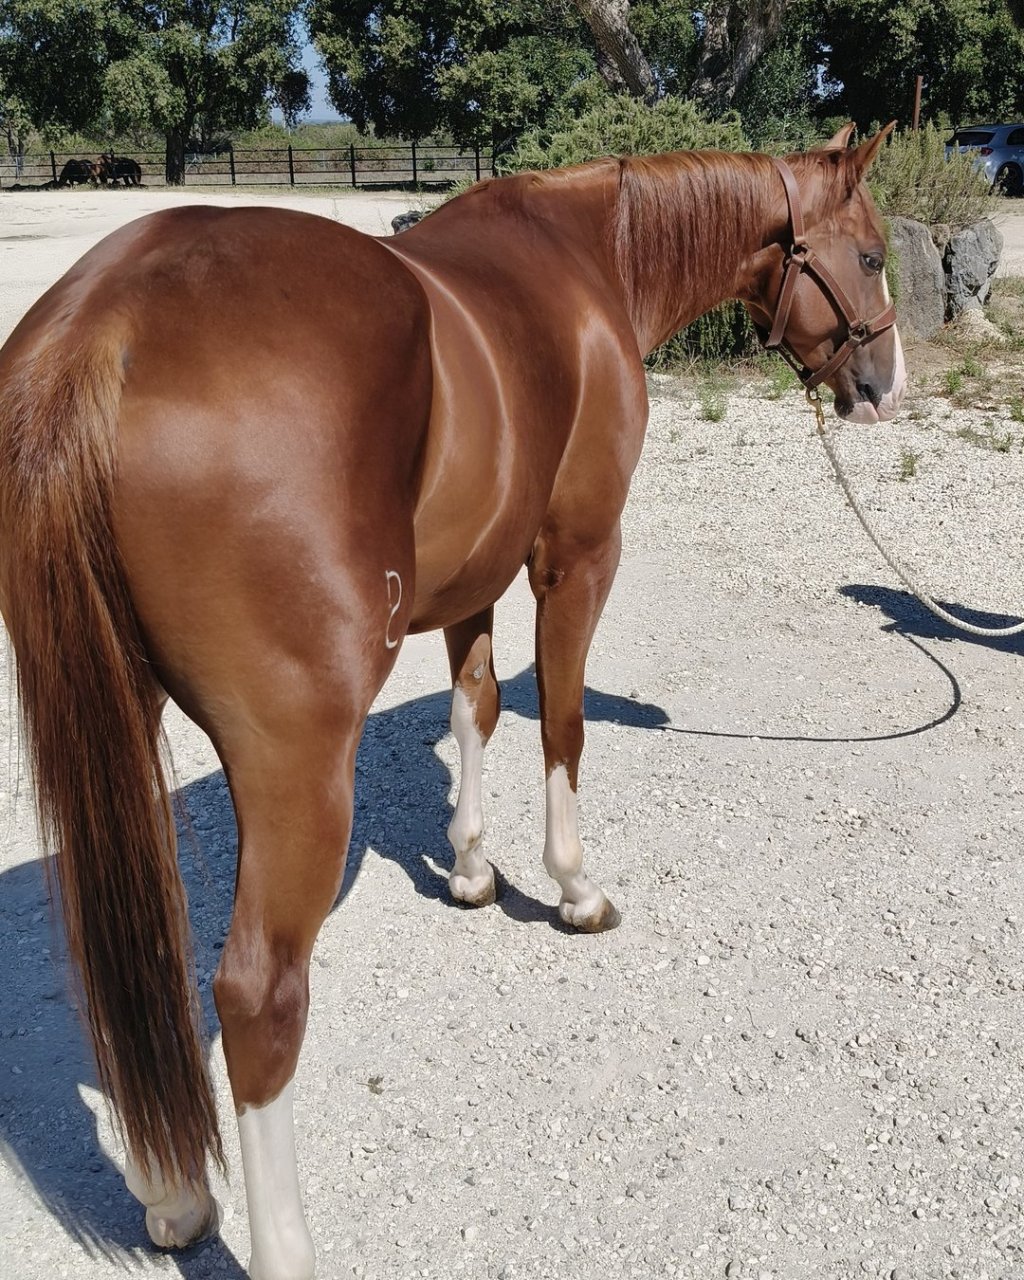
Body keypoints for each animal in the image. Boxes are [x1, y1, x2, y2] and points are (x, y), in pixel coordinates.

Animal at [0, 123, 905, 1279]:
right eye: (871, 254)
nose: (885, 381)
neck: (587, 255)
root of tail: (100, 329)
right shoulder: (574, 559)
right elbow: (558, 723)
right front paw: (573, 888)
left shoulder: (473, 575)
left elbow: (475, 709)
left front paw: (473, 867)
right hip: (295, 757)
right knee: (255, 994)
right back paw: (282, 1241)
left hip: (115, 717)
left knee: (130, 947)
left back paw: (173, 1194)